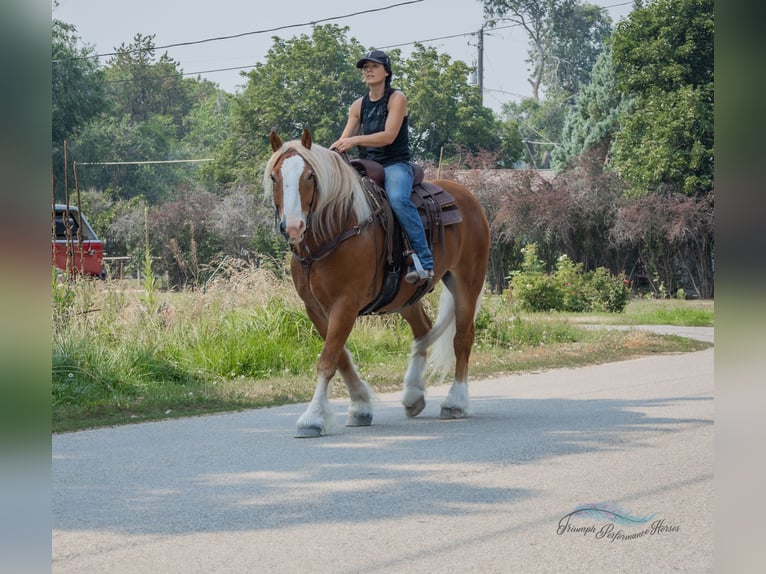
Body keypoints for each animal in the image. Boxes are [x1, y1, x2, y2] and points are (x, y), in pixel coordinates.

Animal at [264, 128, 490, 437]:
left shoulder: (346, 304)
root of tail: (468, 197)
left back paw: (455, 402)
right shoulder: (315, 308)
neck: (337, 227)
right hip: (406, 296)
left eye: (310, 176)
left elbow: (328, 360)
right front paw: (360, 407)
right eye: (275, 177)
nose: (293, 227)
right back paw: (413, 395)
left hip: (466, 283)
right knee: (423, 331)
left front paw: (312, 418)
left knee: (462, 339)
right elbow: (340, 358)